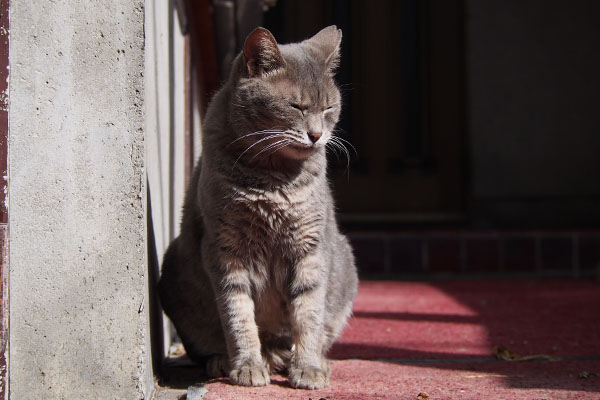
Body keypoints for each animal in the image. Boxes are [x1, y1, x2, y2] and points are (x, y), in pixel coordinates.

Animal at [157, 24, 358, 388]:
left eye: (328, 108)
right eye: (296, 106)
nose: (317, 135)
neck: (273, 179)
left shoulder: (309, 247)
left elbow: (308, 313)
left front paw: (308, 367)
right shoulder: (224, 249)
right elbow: (237, 314)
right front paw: (247, 366)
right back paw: (226, 361)